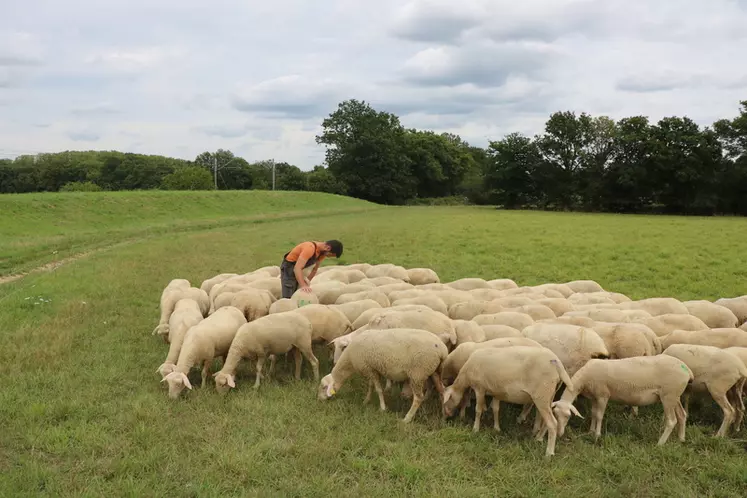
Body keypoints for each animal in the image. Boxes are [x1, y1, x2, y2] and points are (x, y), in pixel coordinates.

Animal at [318, 328, 448, 422]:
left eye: (324, 387)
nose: (319, 400)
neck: (349, 359)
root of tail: (442, 349)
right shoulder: (371, 369)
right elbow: (371, 386)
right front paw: (366, 401)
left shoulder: (370, 369)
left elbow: (379, 389)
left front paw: (382, 408)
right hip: (435, 371)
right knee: (442, 391)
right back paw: (443, 415)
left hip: (418, 373)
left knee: (418, 398)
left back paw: (407, 418)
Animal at [442, 346, 576, 460]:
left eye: (446, 401)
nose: (446, 417)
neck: (465, 375)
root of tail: (556, 362)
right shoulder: (496, 392)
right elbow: (495, 409)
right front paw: (496, 428)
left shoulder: (480, 388)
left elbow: (478, 410)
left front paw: (475, 429)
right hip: (549, 395)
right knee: (545, 420)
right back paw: (538, 438)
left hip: (542, 394)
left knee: (552, 423)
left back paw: (549, 453)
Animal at [548, 356, 692, 446]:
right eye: (555, 414)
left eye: (568, 416)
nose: (560, 433)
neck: (584, 380)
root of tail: (686, 369)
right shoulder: (595, 396)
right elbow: (593, 414)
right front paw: (591, 431)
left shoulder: (603, 395)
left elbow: (599, 415)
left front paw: (597, 435)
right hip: (675, 396)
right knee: (682, 415)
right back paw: (681, 439)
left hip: (669, 395)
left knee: (671, 420)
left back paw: (660, 443)